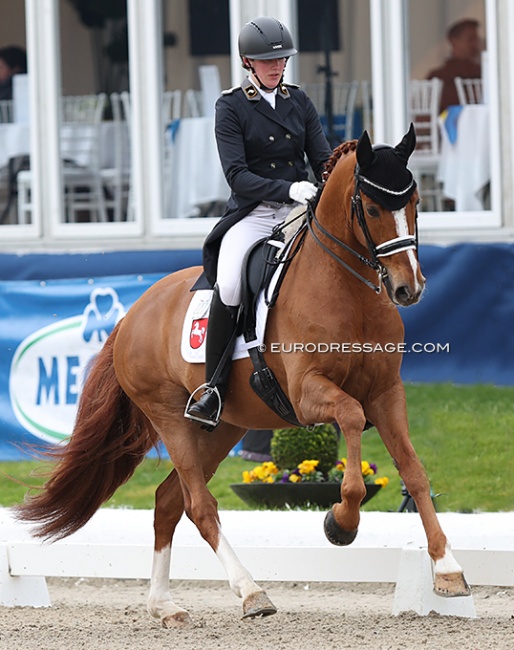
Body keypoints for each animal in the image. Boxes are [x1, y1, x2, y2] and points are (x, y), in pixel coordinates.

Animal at [14, 125, 468, 624]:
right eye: (370, 208)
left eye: (416, 203)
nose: (409, 289)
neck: (348, 291)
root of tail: (134, 312)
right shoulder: (308, 393)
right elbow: (350, 418)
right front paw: (341, 522)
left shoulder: (387, 393)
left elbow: (414, 470)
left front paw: (448, 569)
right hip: (169, 416)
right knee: (199, 505)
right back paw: (251, 592)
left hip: (223, 427)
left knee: (168, 501)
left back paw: (164, 604)